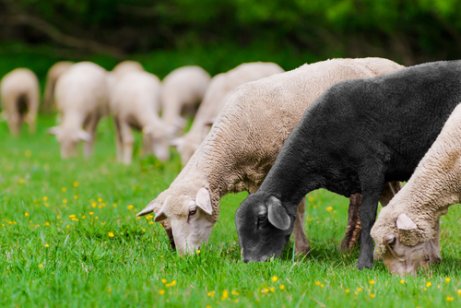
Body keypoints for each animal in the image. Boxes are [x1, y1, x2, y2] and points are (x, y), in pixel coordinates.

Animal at [137, 57, 402, 255]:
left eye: (192, 212)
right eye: (164, 220)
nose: (183, 256)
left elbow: (297, 210)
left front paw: (300, 252)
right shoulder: (255, 177)